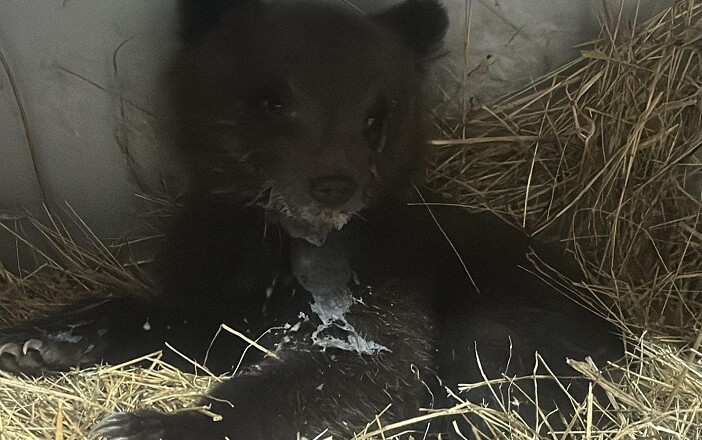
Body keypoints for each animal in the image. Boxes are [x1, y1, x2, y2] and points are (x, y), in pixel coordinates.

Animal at [0, 0, 622, 438]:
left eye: (375, 116)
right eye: (274, 100)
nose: (333, 185)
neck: (281, 241)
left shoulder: (384, 274)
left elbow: (358, 366)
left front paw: (152, 425)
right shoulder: (218, 272)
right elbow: (186, 322)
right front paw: (38, 339)